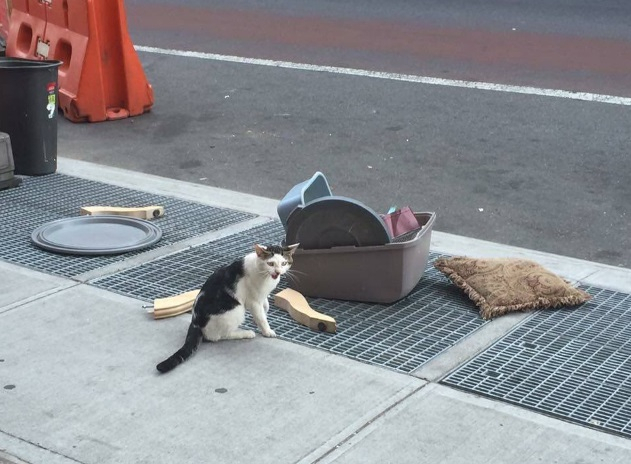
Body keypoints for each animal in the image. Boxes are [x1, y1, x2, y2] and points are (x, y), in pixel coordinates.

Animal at [156, 243, 298, 374]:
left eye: (284, 263)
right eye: (270, 263)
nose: (278, 272)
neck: (264, 275)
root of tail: (195, 321)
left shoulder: (262, 296)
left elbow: (265, 306)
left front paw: (262, 315)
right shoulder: (253, 301)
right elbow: (261, 318)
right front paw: (267, 331)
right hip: (236, 310)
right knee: (218, 336)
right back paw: (245, 333)